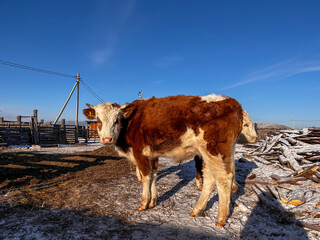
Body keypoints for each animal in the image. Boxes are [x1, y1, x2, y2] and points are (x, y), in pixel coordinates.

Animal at [84, 94, 244, 227]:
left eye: (117, 120)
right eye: (98, 120)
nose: (107, 139)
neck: (130, 124)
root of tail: (232, 102)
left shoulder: (140, 153)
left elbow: (146, 178)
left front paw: (144, 203)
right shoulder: (153, 155)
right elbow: (154, 175)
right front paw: (153, 201)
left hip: (214, 151)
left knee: (223, 179)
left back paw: (221, 218)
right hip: (209, 155)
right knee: (210, 179)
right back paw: (197, 209)